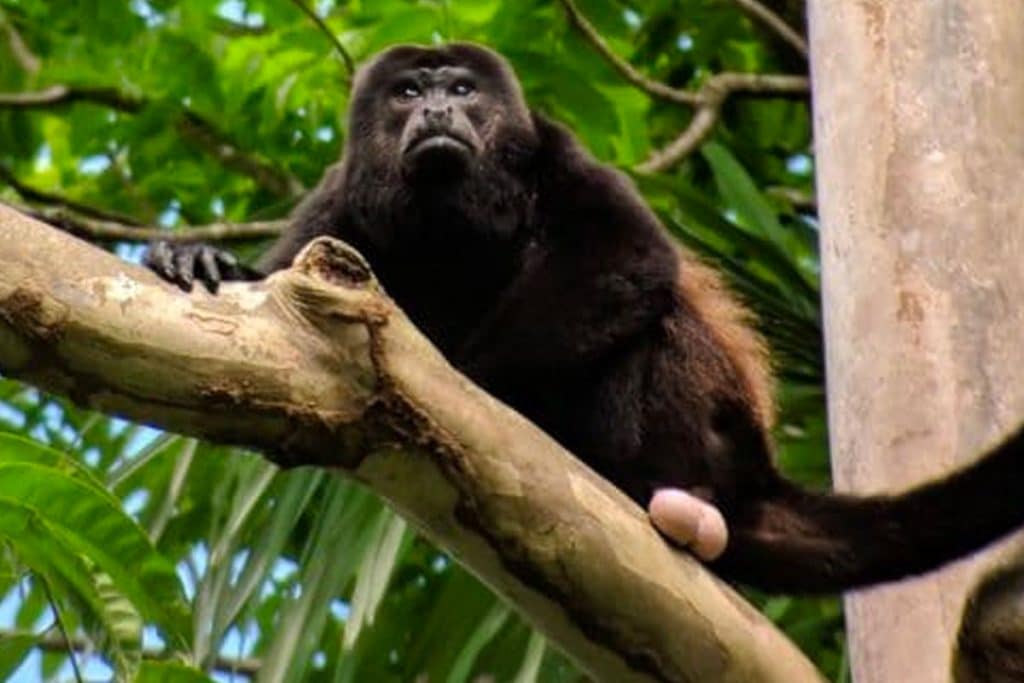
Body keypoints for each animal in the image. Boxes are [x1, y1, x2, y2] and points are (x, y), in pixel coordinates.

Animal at [146, 43, 1024, 593]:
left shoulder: (555, 149)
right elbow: (280, 290)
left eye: (462, 89)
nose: (436, 109)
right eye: (408, 93)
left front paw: (459, 380)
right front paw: (203, 262)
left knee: (658, 323)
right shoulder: (341, 196)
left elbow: (628, 257)